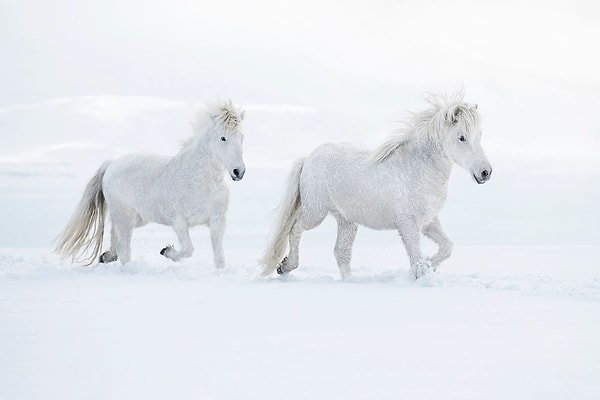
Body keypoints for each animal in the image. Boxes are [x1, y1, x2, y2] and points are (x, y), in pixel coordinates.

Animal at [54, 100, 246, 268]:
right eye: (223, 138)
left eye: (242, 137)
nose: (239, 172)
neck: (202, 181)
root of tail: (112, 164)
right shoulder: (179, 221)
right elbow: (188, 250)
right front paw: (166, 251)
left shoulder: (217, 221)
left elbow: (219, 258)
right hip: (124, 216)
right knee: (124, 250)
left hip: (136, 219)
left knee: (115, 237)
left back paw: (106, 256)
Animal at [262, 91, 492, 280]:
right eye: (461, 137)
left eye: (480, 135)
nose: (485, 173)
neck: (417, 167)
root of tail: (309, 157)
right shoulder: (408, 224)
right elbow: (417, 258)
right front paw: (422, 273)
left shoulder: (428, 221)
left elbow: (447, 247)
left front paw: (429, 266)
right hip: (315, 212)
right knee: (296, 229)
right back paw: (285, 266)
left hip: (346, 220)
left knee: (341, 252)